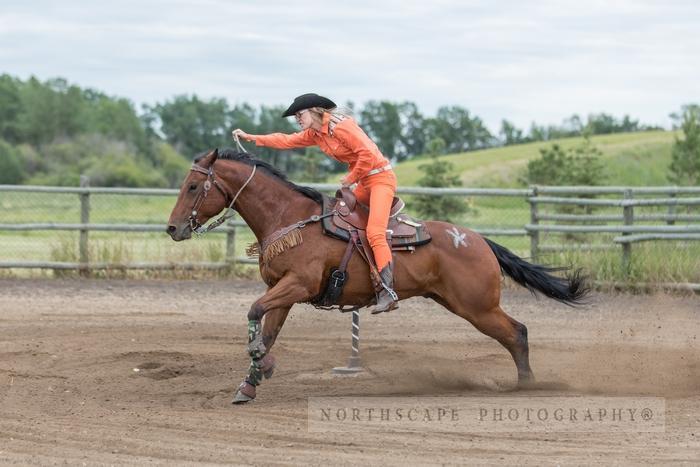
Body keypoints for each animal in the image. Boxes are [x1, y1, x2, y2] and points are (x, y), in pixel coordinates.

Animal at [167, 149, 588, 402]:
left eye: (193, 185)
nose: (172, 228)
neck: (289, 219)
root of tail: (477, 239)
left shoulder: (297, 285)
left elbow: (254, 311)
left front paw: (259, 363)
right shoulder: (282, 291)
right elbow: (267, 329)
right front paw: (250, 382)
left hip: (478, 306)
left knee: (517, 333)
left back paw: (527, 386)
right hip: (461, 303)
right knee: (516, 333)